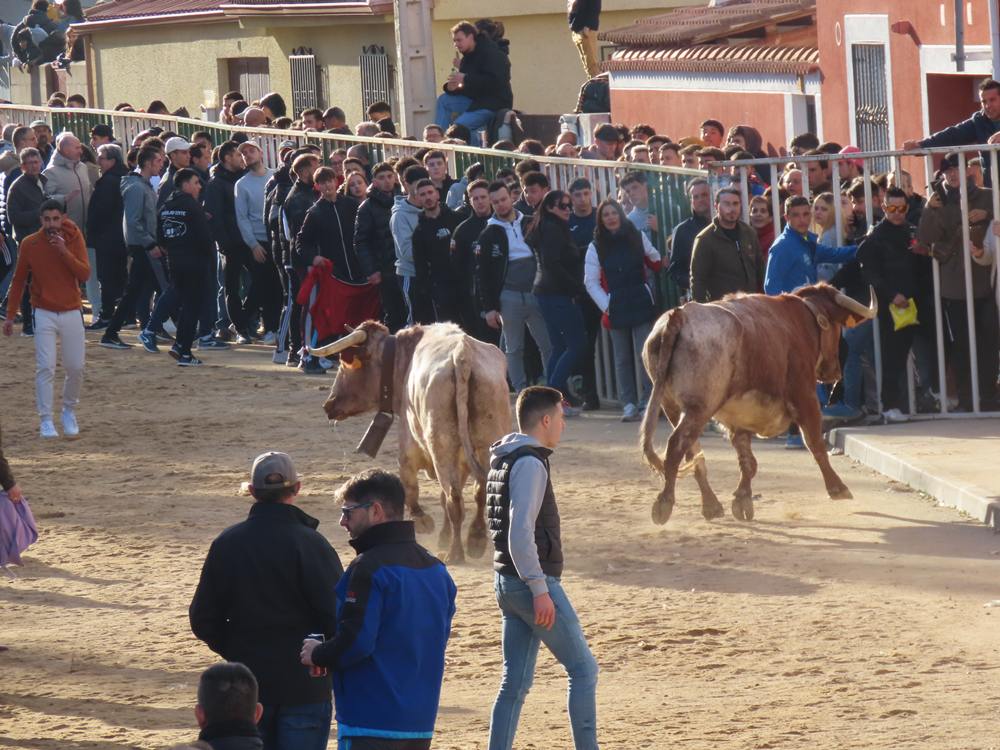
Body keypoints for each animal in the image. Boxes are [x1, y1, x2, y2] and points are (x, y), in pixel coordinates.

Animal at [314, 320, 516, 560]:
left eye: (345, 366)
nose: (328, 404)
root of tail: (462, 355)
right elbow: (444, 496)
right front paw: (443, 535)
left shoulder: (408, 450)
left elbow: (410, 488)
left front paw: (423, 522)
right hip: (486, 442)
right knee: (479, 492)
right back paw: (475, 540)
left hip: (441, 447)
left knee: (455, 499)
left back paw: (455, 552)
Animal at [640, 284, 876, 524]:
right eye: (838, 328)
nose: (835, 372)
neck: (799, 318)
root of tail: (678, 316)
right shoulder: (805, 397)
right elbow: (815, 444)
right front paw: (837, 488)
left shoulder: (739, 418)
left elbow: (747, 461)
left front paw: (743, 499)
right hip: (699, 408)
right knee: (677, 445)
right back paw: (665, 502)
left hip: (672, 407)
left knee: (693, 454)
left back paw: (711, 505)